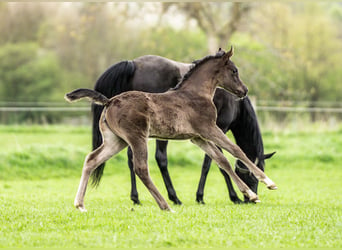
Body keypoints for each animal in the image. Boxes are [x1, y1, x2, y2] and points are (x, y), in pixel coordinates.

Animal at [65, 48, 276, 211]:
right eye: (234, 71)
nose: (244, 90)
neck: (195, 94)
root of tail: (109, 101)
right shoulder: (211, 129)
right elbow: (235, 151)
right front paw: (266, 183)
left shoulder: (198, 138)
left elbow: (221, 160)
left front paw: (249, 194)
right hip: (137, 138)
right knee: (141, 167)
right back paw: (167, 204)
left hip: (116, 141)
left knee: (92, 159)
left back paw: (80, 204)